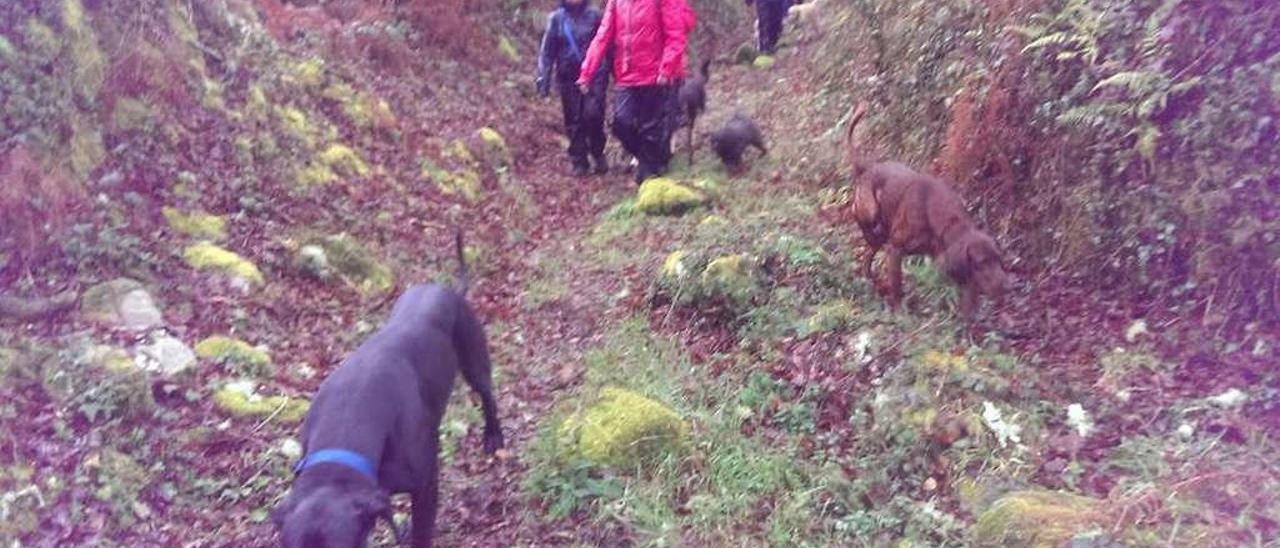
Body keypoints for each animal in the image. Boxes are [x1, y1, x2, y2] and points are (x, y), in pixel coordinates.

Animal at [272, 231, 501, 548]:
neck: (348, 421)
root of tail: (448, 289)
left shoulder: (425, 486)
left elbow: (421, 534)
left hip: (474, 361)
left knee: (488, 395)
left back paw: (493, 437)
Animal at [844, 103, 1013, 318]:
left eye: (999, 259)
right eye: (982, 262)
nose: (1008, 287)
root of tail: (867, 167)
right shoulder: (895, 249)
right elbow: (897, 287)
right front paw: (900, 312)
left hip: (881, 234)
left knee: (867, 256)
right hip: (871, 215)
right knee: (861, 223)